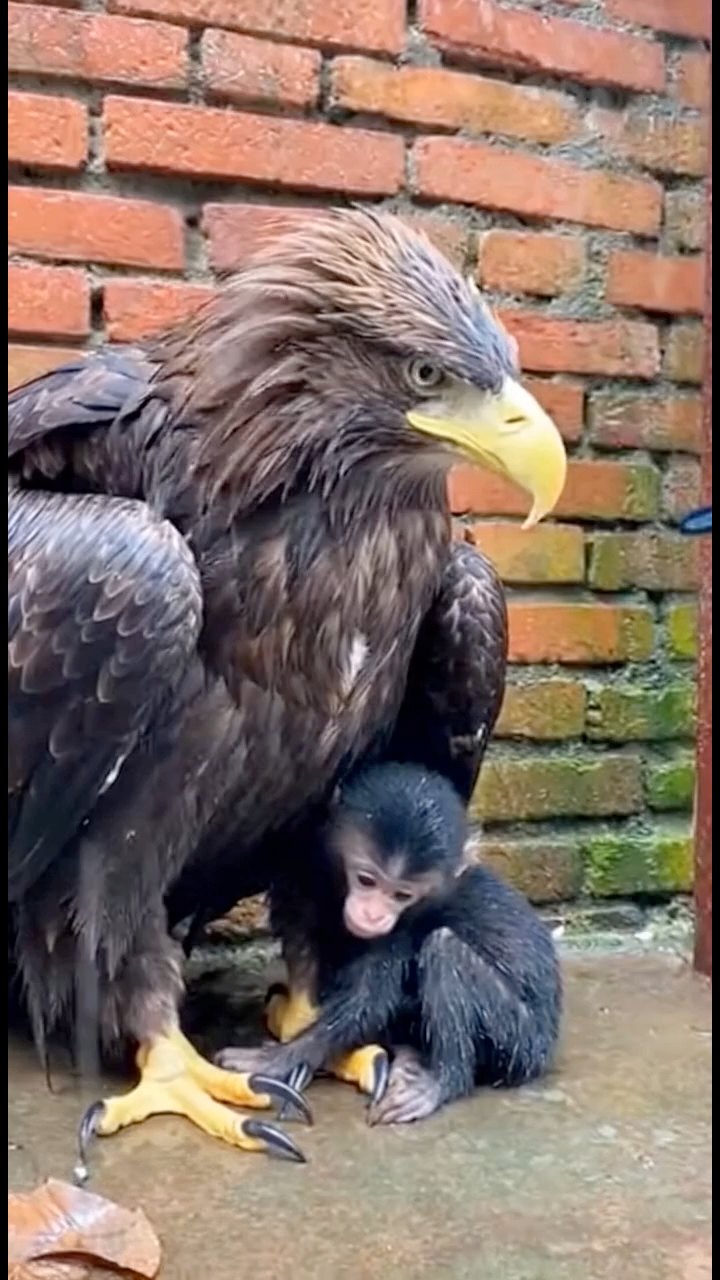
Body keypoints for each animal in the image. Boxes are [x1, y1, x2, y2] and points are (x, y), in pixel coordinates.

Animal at [216, 762, 562, 1125]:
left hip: (523, 1042)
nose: (373, 915)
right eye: (366, 880)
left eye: (402, 896)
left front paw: (278, 1060)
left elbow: (368, 1001)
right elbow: (299, 919)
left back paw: (442, 1081)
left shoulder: (400, 929)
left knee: (444, 950)